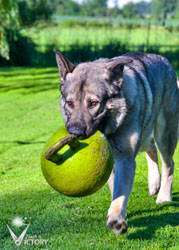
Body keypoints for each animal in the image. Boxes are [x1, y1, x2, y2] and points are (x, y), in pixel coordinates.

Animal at [53, 50, 178, 234]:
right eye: (69, 103)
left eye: (93, 103)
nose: (75, 132)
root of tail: (164, 60)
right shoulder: (111, 161)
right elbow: (115, 188)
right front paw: (117, 212)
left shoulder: (124, 157)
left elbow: (120, 189)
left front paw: (116, 219)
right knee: (151, 147)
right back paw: (154, 182)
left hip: (165, 134)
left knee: (168, 163)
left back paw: (164, 195)